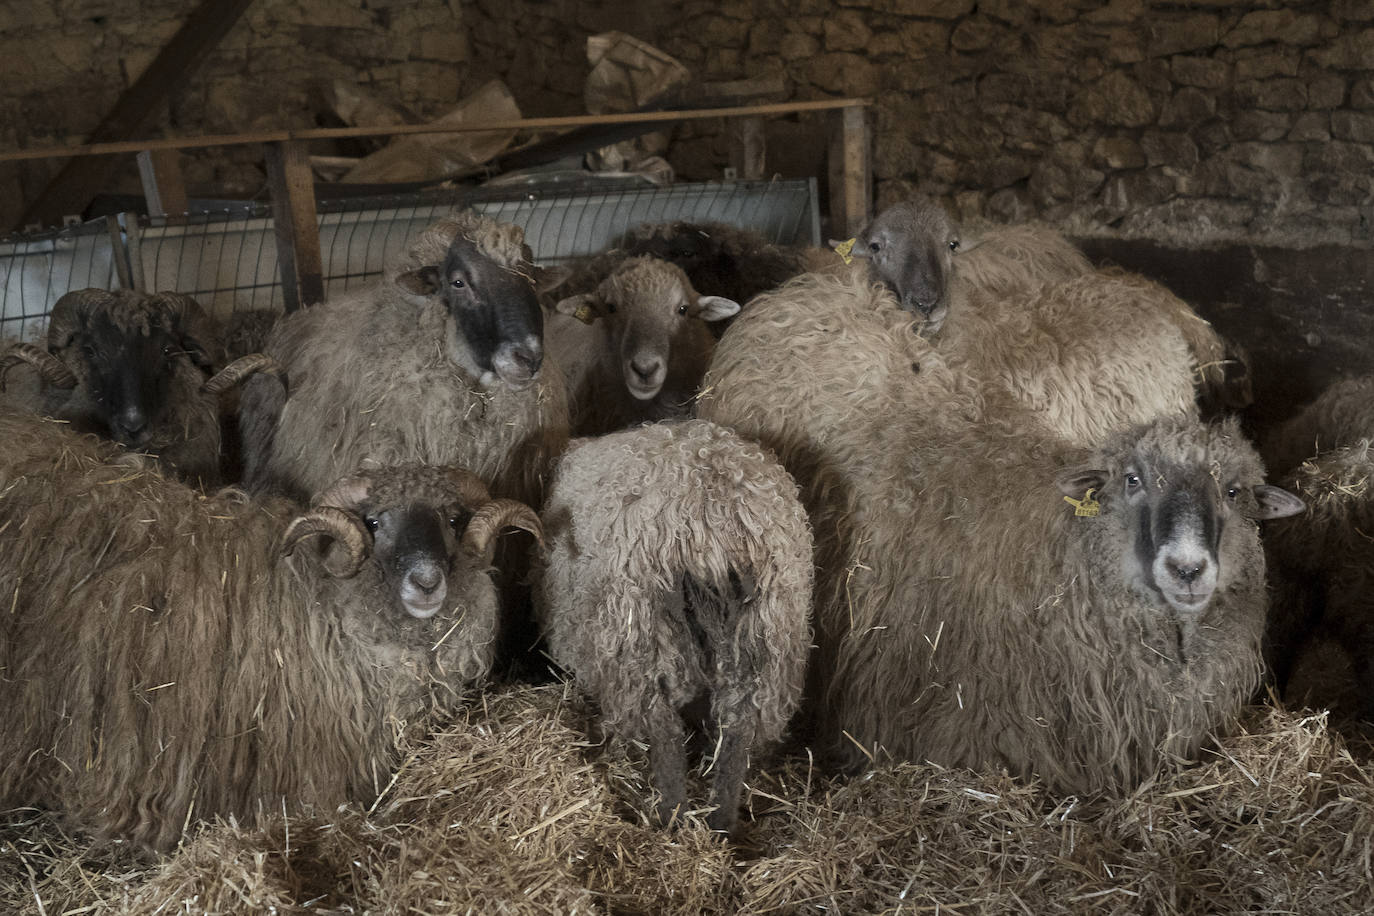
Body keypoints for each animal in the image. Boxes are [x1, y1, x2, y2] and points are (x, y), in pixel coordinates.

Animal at [533, 420, 813, 834]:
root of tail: (711, 521)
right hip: (766, 634)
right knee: (738, 726)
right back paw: (720, 822)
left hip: (641, 632)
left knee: (664, 729)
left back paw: (670, 818)